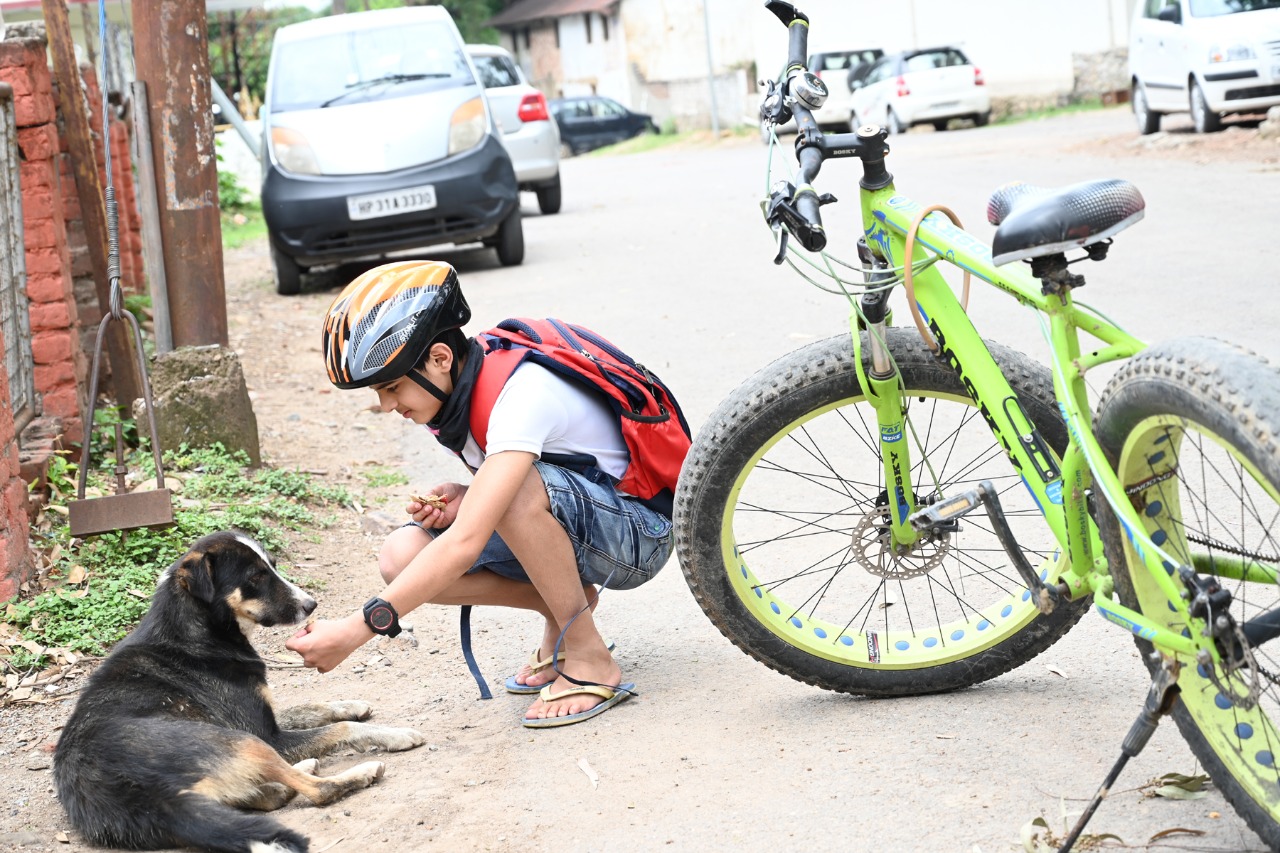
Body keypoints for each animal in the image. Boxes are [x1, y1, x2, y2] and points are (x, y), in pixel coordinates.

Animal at [53, 527, 424, 850]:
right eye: (255, 577)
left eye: (272, 566)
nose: (311, 605)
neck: (196, 632)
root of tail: (137, 800)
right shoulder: (266, 734)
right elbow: (340, 729)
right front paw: (393, 734)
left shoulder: (261, 718)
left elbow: (309, 708)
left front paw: (351, 704)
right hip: (246, 743)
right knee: (318, 791)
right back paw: (357, 772)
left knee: (269, 795)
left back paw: (297, 771)